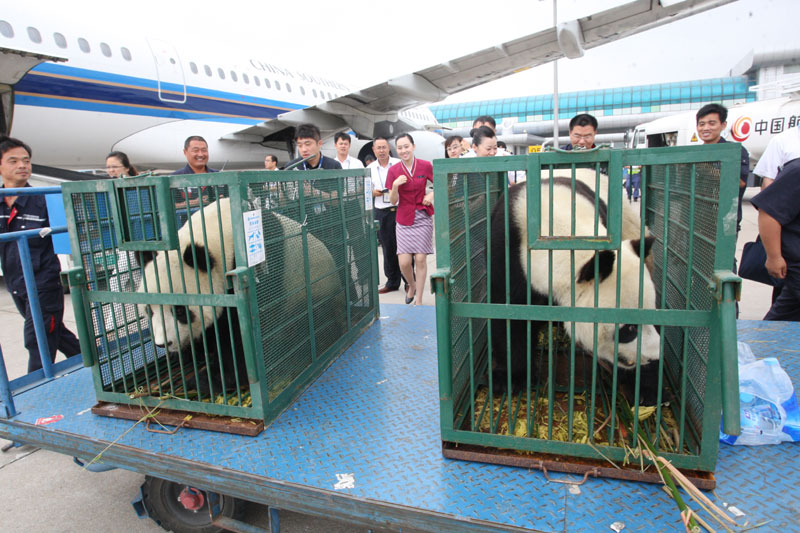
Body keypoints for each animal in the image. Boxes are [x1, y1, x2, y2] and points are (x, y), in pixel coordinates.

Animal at [137, 197, 340, 396]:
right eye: (149, 310)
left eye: (180, 310)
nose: (163, 344)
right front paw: (190, 354)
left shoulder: (261, 270)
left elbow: (244, 336)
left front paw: (207, 380)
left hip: (312, 292)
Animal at [490, 168, 660, 406]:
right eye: (629, 330)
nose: (654, 355)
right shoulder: (507, 249)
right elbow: (510, 313)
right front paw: (511, 379)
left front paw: (645, 387)